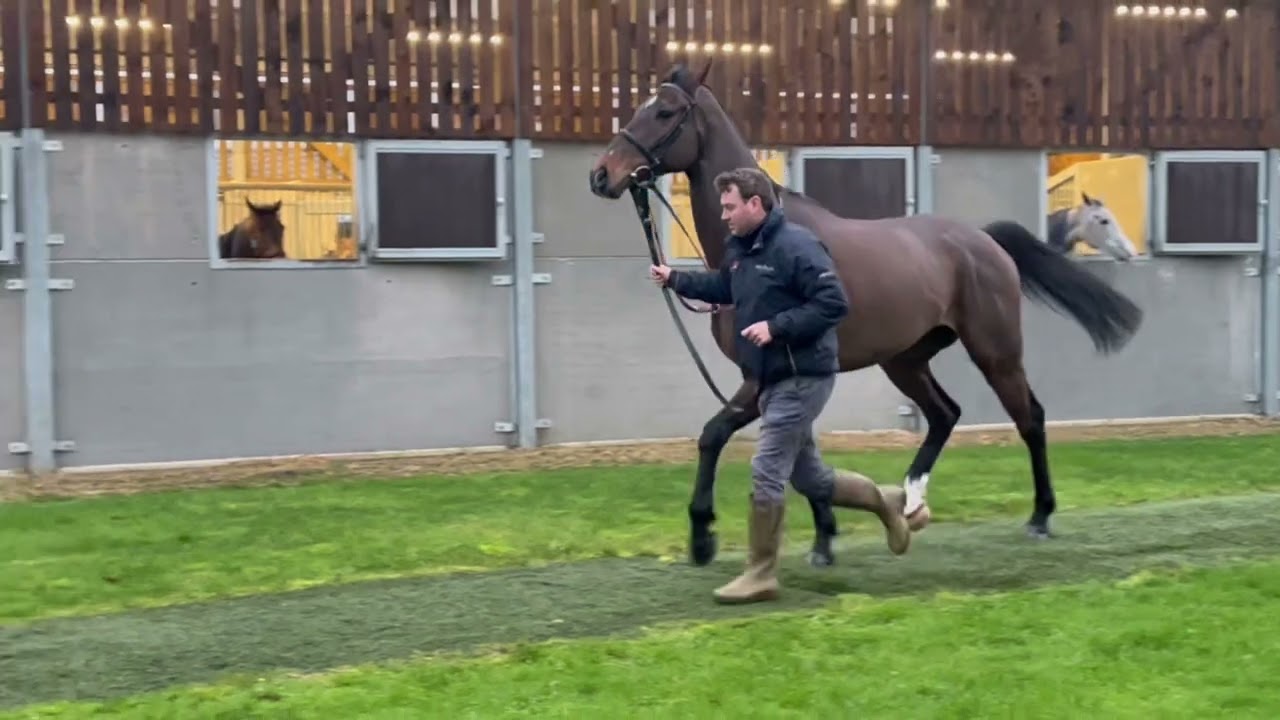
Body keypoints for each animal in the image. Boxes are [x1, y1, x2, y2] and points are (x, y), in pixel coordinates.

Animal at [588, 60, 1143, 568]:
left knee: (1030, 418)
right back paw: (912, 501)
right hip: (904, 359)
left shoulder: (761, 373)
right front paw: (824, 536)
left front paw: (703, 536)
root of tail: (984, 242)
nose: (602, 175)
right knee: (945, 414)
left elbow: (714, 436)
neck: (758, 243)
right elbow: (795, 453)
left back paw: (1040, 516)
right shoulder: (785, 376)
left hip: (996, 352)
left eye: (663, 112)